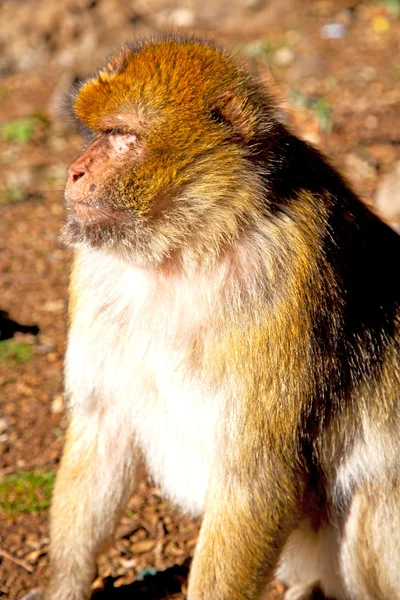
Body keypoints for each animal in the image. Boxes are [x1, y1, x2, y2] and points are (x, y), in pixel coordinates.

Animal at [23, 37, 400, 600]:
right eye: (99, 134)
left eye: (123, 137)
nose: (75, 171)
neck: (185, 250)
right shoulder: (96, 275)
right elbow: (103, 427)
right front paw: (64, 584)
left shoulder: (293, 276)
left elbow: (255, 479)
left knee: (375, 491)